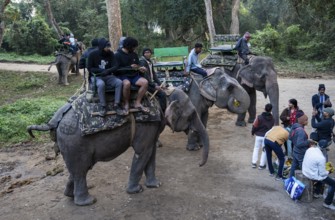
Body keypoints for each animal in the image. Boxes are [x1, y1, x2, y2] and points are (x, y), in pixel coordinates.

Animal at [26, 88, 210, 205]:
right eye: (191, 115)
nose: (199, 164)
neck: (163, 94)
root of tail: (54, 121)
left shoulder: (151, 126)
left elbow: (151, 153)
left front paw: (155, 185)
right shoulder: (147, 124)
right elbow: (142, 152)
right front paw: (137, 191)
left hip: (69, 144)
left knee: (77, 170)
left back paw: (70, 195)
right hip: (75, 142)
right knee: (80, 170)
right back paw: (88, 202)